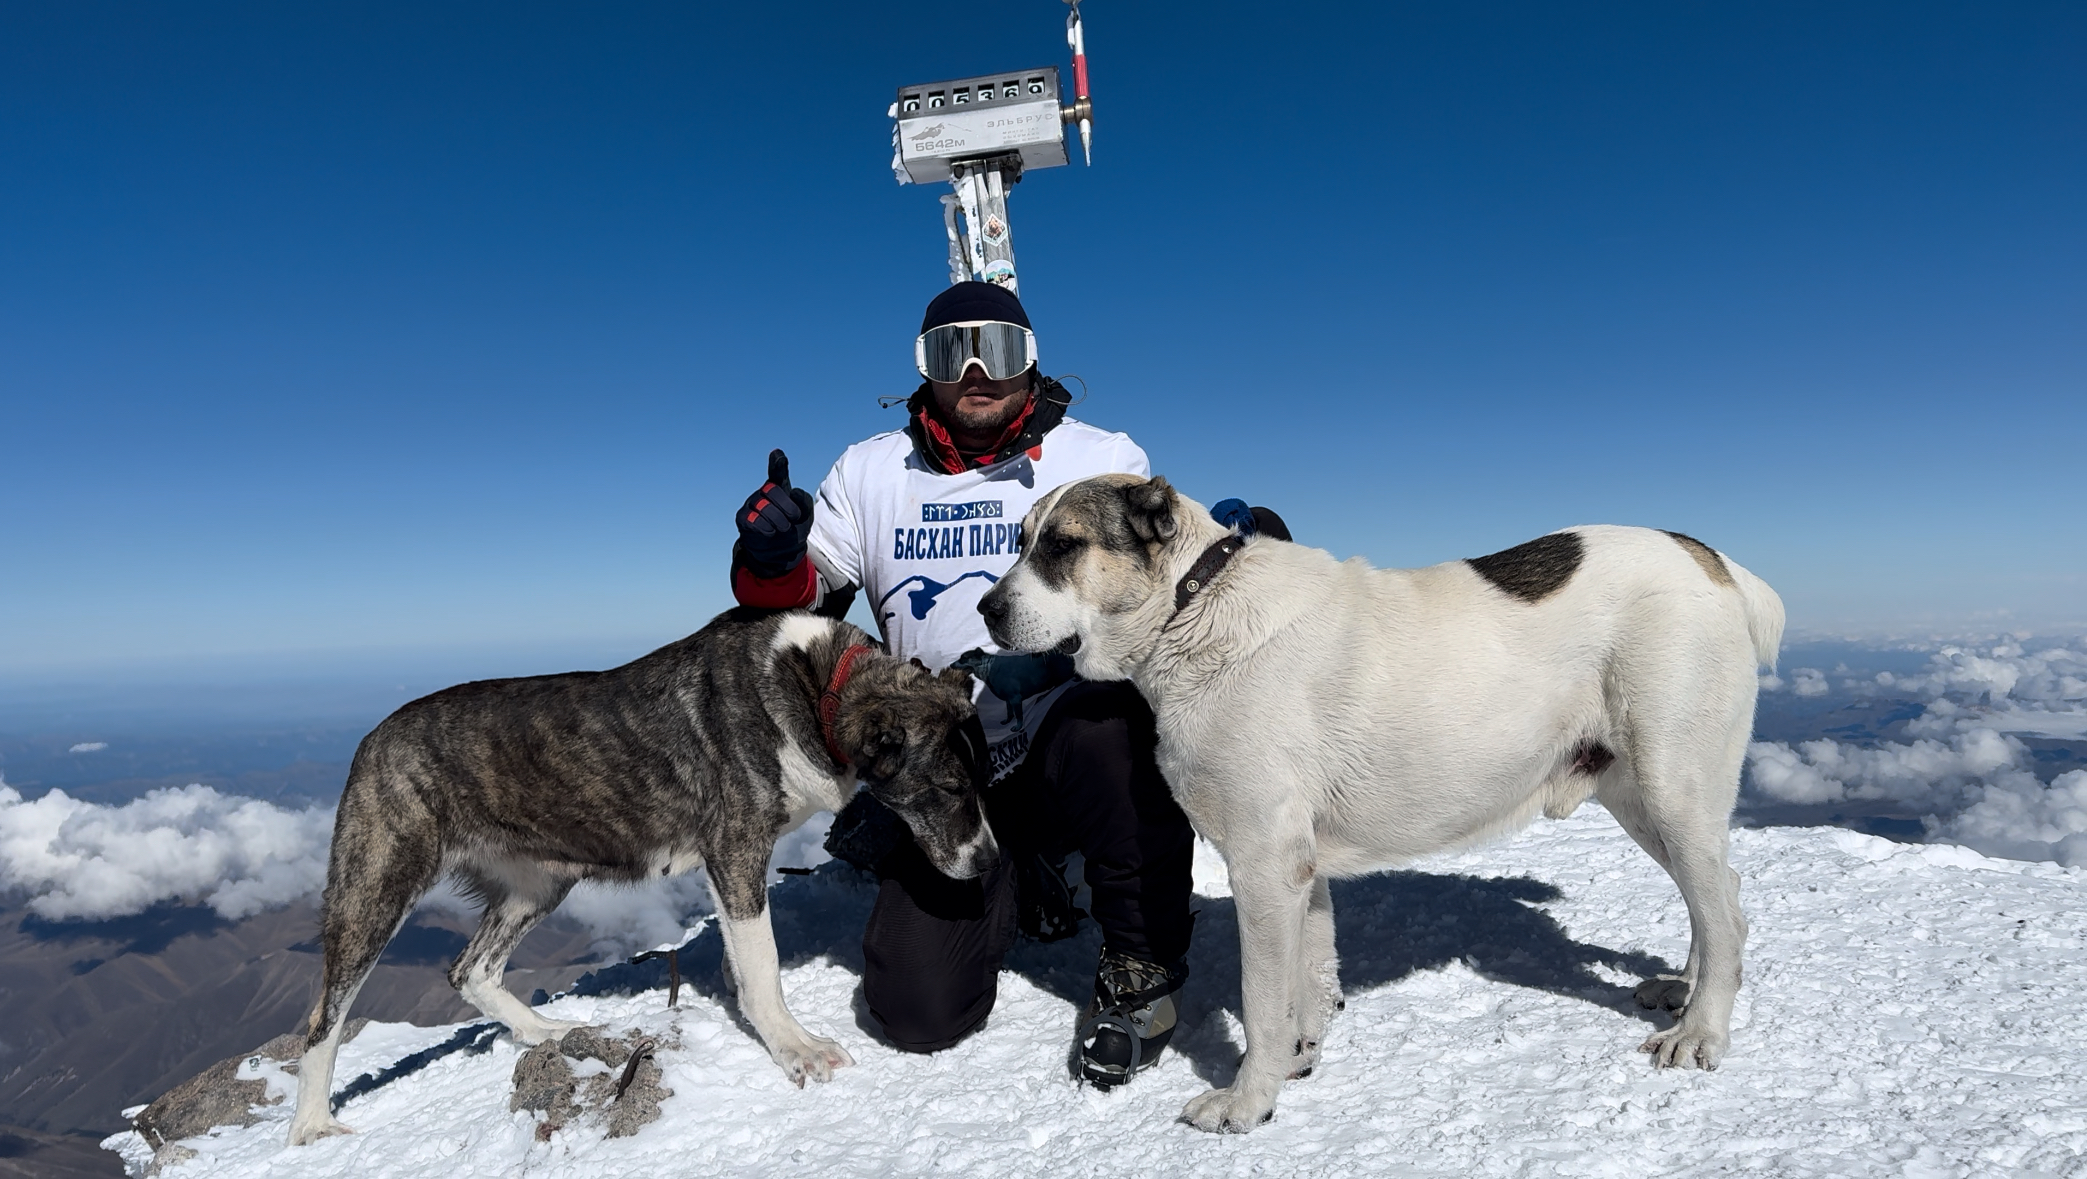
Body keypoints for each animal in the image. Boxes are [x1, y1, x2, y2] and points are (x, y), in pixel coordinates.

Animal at [972, 475, 1778, 1126]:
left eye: (1064, 545)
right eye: (1020, 540)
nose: (985, 608)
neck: (1191, 607)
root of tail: (1709, 559)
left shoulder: (1264, 866)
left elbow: (1263, 1000)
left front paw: (1247, 1102)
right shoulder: (1300, 870)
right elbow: (1309, 978)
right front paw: (1299, 1058)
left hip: (1672, 786)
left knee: (1727, 912)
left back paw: (1699, 1031)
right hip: (1643, 799)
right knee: (1718, 892)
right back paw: (1682, 989)